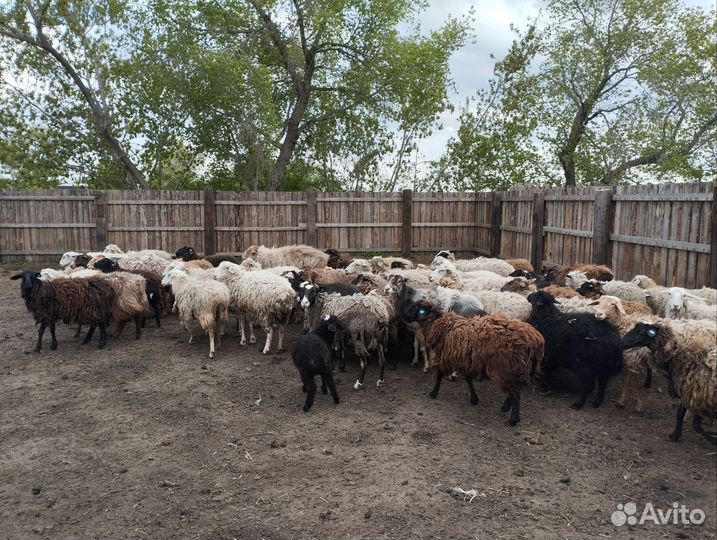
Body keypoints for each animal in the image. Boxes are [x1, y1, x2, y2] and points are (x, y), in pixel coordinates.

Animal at [403, 300, 544, 426]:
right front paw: (474, 399)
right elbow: (468, 378)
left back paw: (513, 419)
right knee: (514, 388)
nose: (402, 316)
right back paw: (505, 407)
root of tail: (534, 338)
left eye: (416, 307)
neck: (438, 324)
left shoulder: (445, 356)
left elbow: (440, 375)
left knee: (516, 391)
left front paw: (433, 393)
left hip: (505, 366)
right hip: (513, 367)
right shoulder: (464, 359)